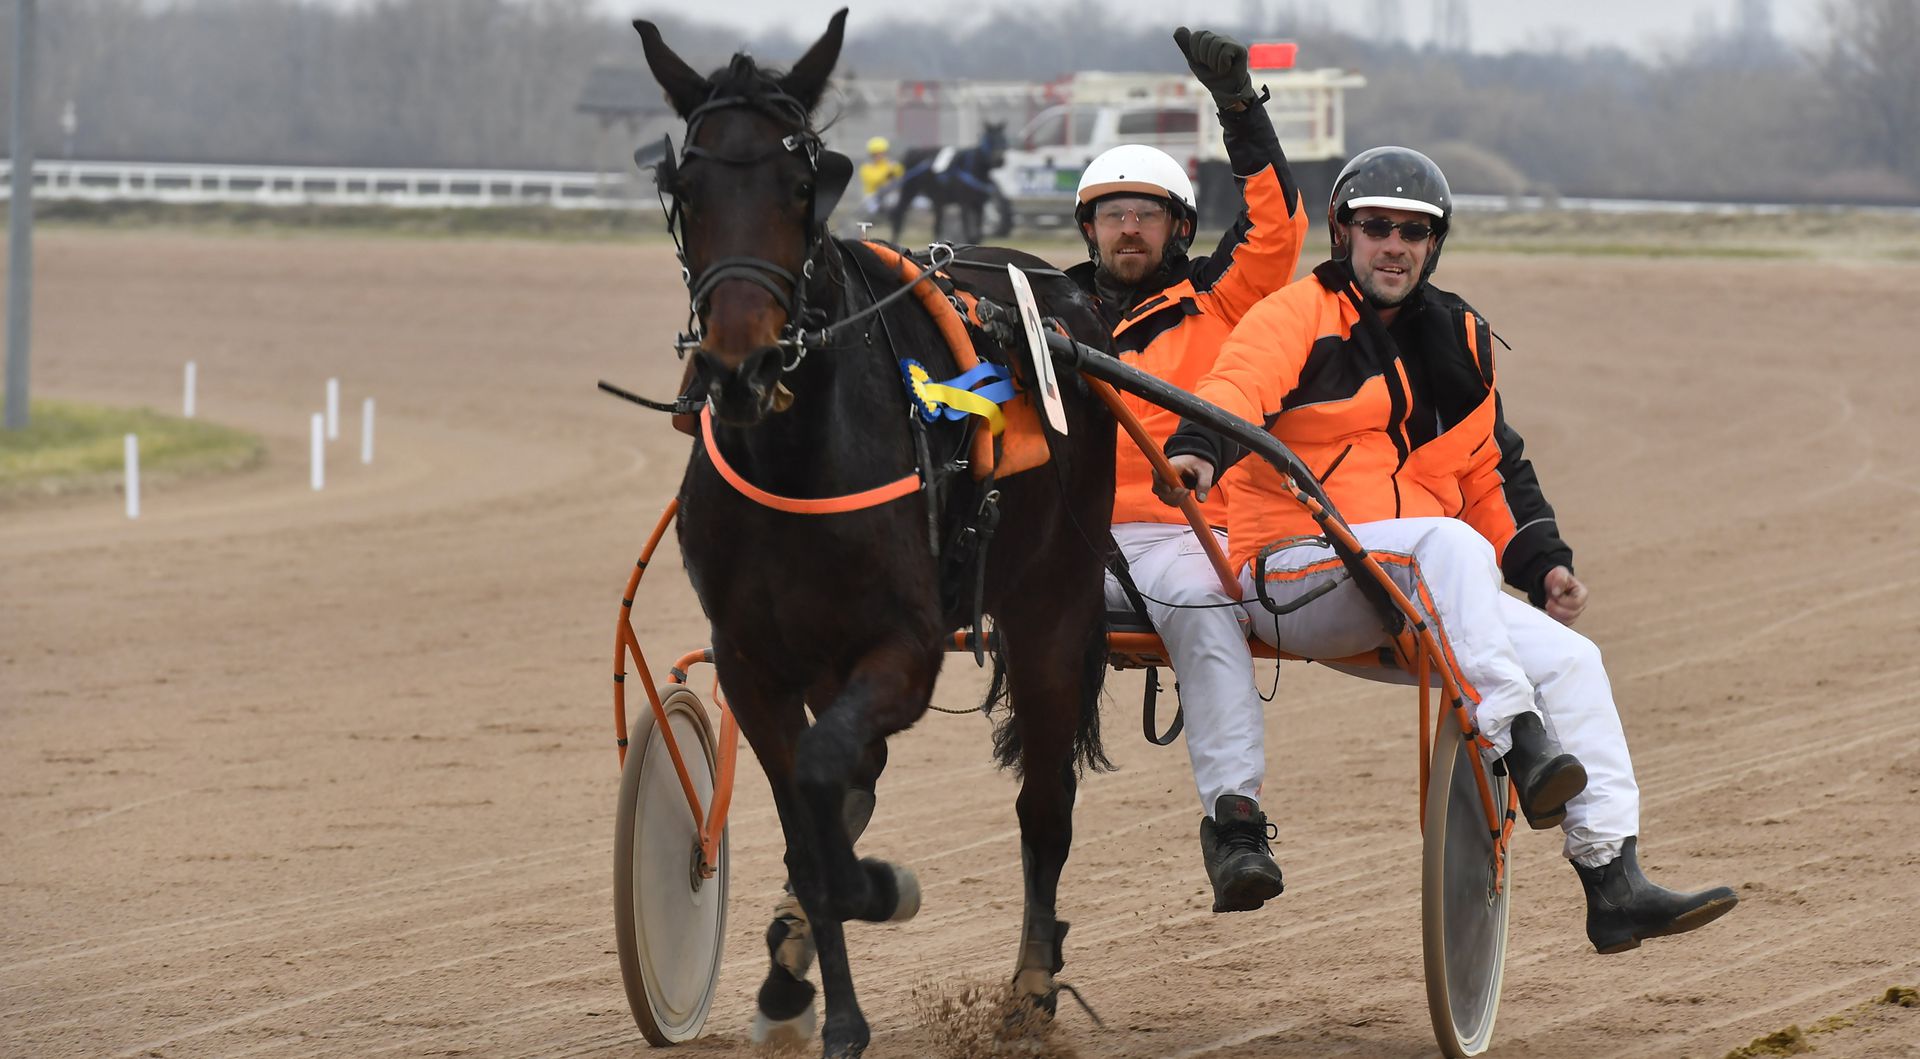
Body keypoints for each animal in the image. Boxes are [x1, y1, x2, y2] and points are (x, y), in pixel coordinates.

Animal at [887, 121, 1021, 243]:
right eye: (990, 140)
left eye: (1003, 139)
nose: (1000, 160)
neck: (972, 168)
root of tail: (912, 151)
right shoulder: (964, 204)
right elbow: (968, 233)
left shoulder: (979, 204)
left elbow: (978, 236)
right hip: (909, 190)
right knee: (898, 214)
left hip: (937, 199)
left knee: (937, 225)